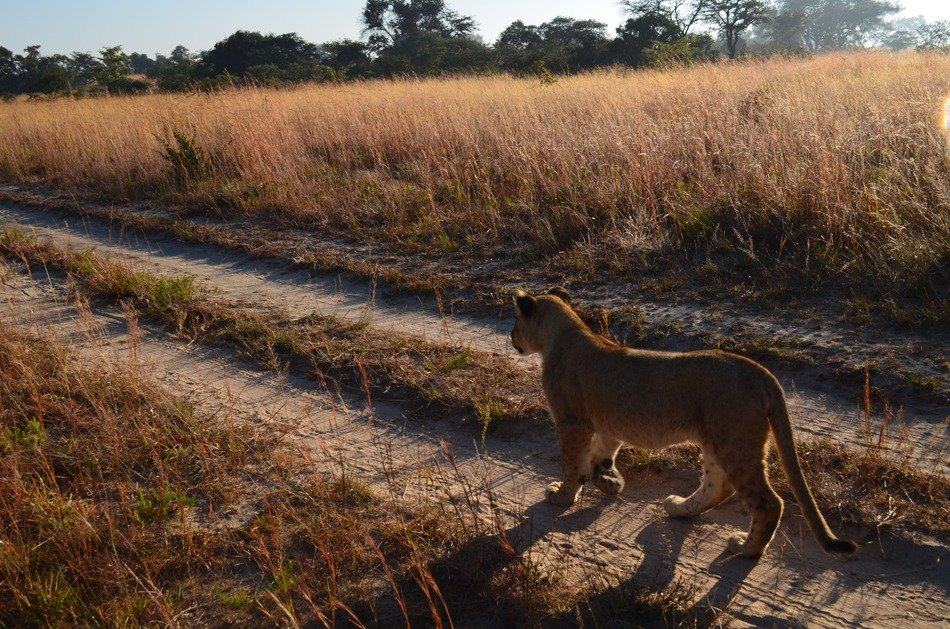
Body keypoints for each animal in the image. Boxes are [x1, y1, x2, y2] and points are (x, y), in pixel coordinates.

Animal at [510, 287, 857, 558]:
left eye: (515, 322)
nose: (511, 338)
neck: (565, 331)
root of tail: (761, 373)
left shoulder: (572, 422)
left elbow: (572, 464)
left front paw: (562, 496)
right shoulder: (608, 423)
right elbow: (600, 456)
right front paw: (609, 482)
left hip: (735, 442)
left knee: (768, 503)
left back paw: (745, 548)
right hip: (718, 441)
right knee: (718, 487)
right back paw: (680, 508)